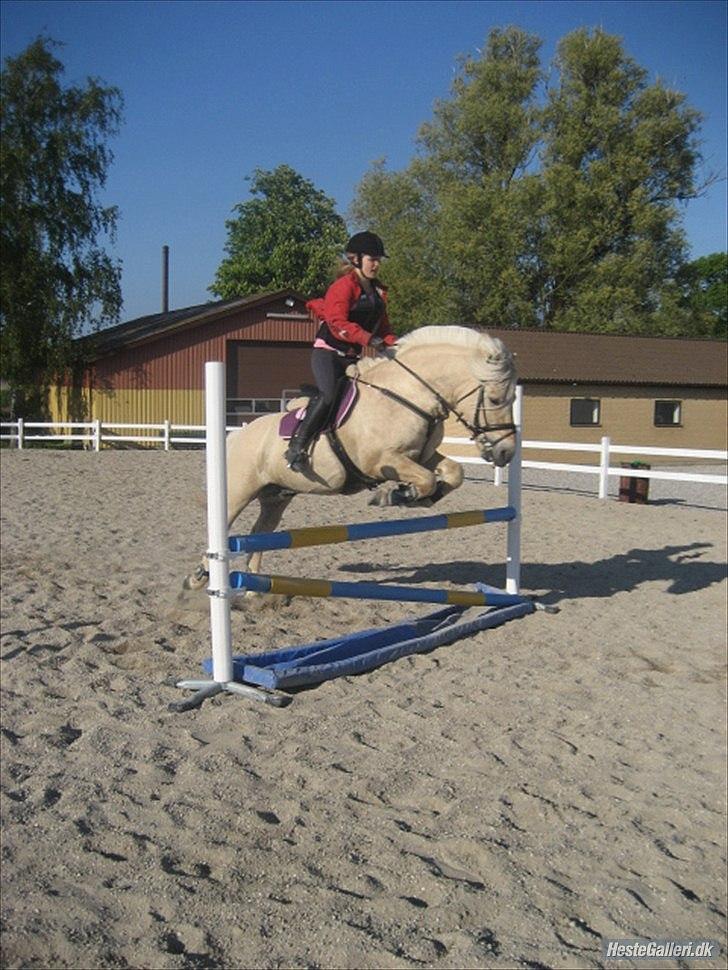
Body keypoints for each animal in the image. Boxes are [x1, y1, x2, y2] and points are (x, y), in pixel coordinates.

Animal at [185, 326, 520, 588]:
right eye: (494, 399)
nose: (506, 451)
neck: (407, 394)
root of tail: (235, 436)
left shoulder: (421, 456)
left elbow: (453, 473)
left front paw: (420, 497)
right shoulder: (382, 462)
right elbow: (425, 479)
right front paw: (397, 495)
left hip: (276, 497)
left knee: (259, 533)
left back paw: (254, 590)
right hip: (237, 492)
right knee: (223, 528)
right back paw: (198, 577)